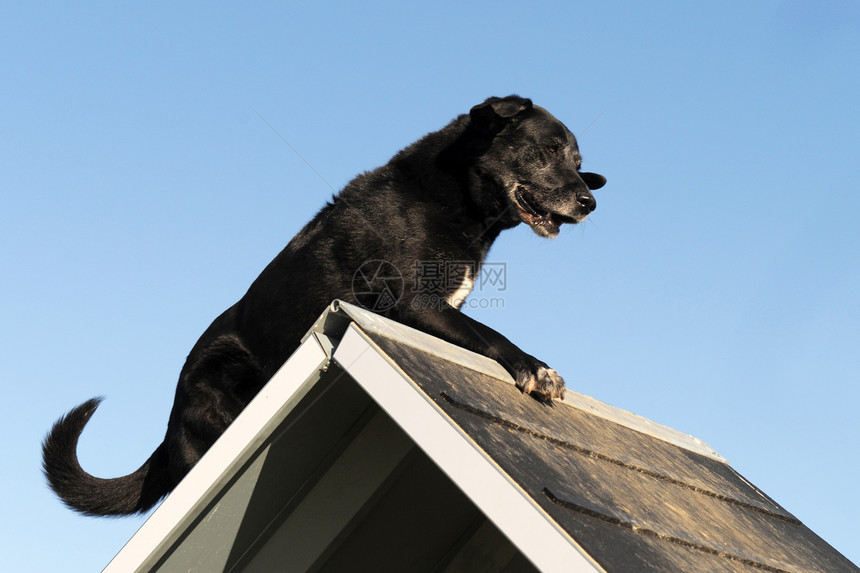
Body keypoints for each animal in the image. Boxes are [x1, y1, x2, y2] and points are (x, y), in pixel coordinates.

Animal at [40, 94, 604, 512]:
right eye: (547, 151)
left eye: (579, 164)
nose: (590, 201)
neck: (449, 198)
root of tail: (170, 425)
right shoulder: (413, 304)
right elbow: (491, 334)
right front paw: (537, 370)